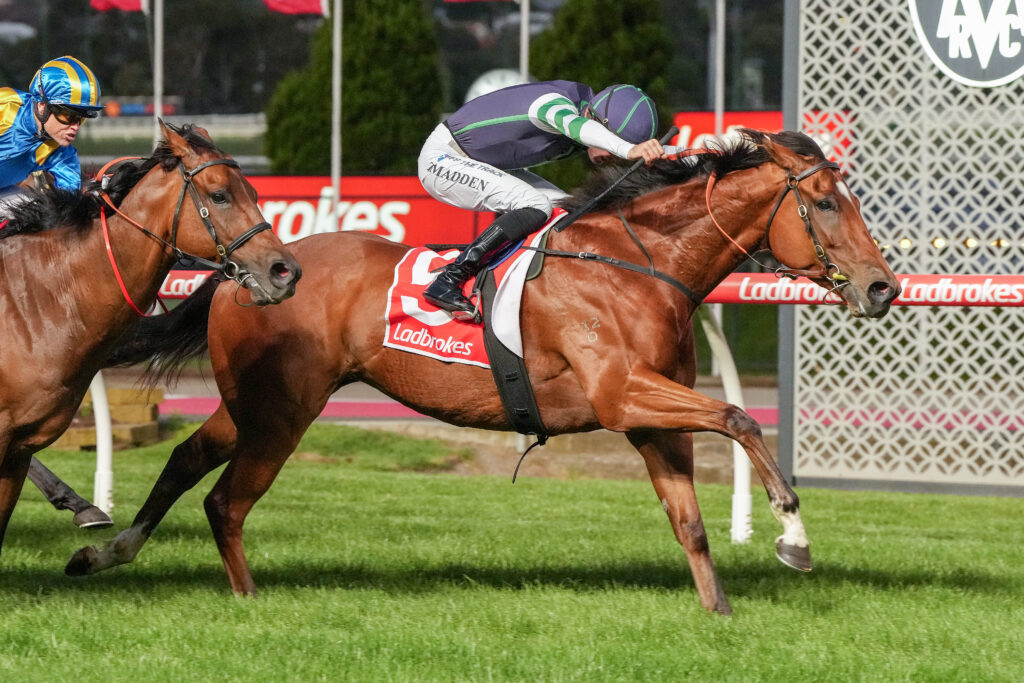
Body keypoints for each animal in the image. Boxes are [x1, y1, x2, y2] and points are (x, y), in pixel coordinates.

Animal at [67, 129, 899, 615]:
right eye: (825, 203)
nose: (882, 287)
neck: (642, 262)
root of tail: (248, 268)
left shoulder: (648, 416)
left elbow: (689, 518)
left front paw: (718, 610)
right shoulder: (623, 393)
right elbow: (739, 415)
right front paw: (793, 535)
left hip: (251, 403)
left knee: (184, 460)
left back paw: (105, 549)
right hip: (283, 411)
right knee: (226, 501)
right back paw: (246, 599)